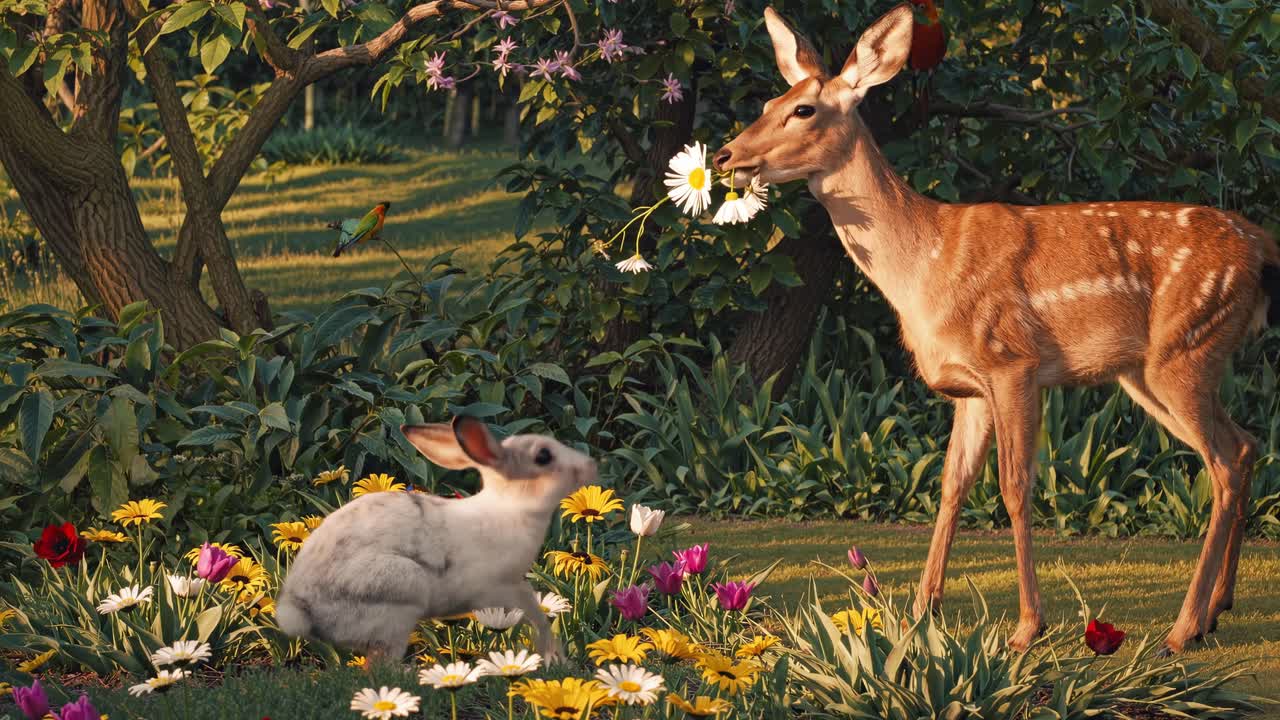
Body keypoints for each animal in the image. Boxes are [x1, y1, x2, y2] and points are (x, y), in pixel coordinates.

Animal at [276, 415, 596, 665]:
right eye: (543, 456)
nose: (591, 465)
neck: (511, 507)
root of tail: (298, 609)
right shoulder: (504, 589)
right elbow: (537, 619)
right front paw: (554, 659)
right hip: (400, 598)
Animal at [712, 3, 1280, 653]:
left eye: (804, 109)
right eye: (768, 101)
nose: (725, 155)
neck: (924, 268)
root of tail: (1262, 248)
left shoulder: (1013, 361)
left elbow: (1013, 487)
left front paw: (1026, 627)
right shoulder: (968, 387)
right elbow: (951, 486)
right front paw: (921, 611)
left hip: (1184, 350)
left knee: (1225, 463)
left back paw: (1182, 630)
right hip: (1152, 370)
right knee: (1247, 444)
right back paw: (1216, 609)